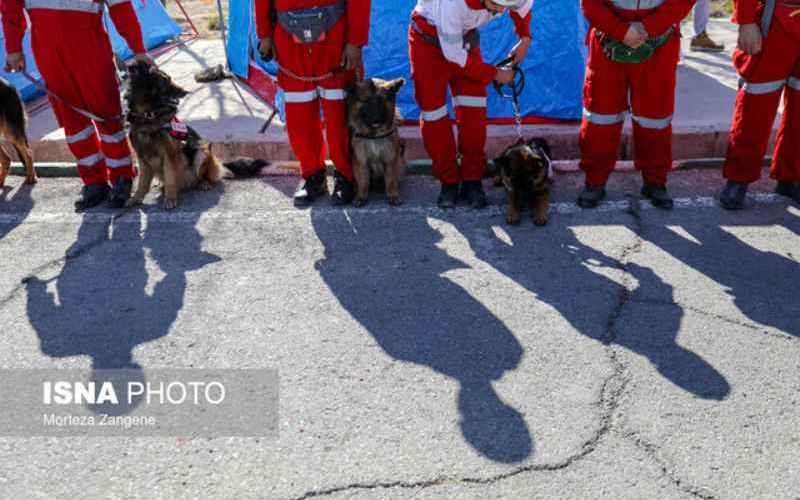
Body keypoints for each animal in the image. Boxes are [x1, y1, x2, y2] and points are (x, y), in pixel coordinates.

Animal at [125, 62, 225, 209]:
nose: (185, 92)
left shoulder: (170, 154)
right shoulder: (142, 157)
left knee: (202, 176)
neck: (148, 116)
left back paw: (203, 183)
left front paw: (170, 199)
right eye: (164, 81)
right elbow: (142, 182)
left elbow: (170, 177)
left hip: (201, 151)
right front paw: (136, 198)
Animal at [346, 77, 406, 206]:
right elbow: (363, 181)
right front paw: (361, 196)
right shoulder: (361, 161)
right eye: (366, 100)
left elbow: (391, 180)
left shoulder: (390, 159)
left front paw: (393, 195)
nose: (376, 119)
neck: (374, 135)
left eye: (382, 100)